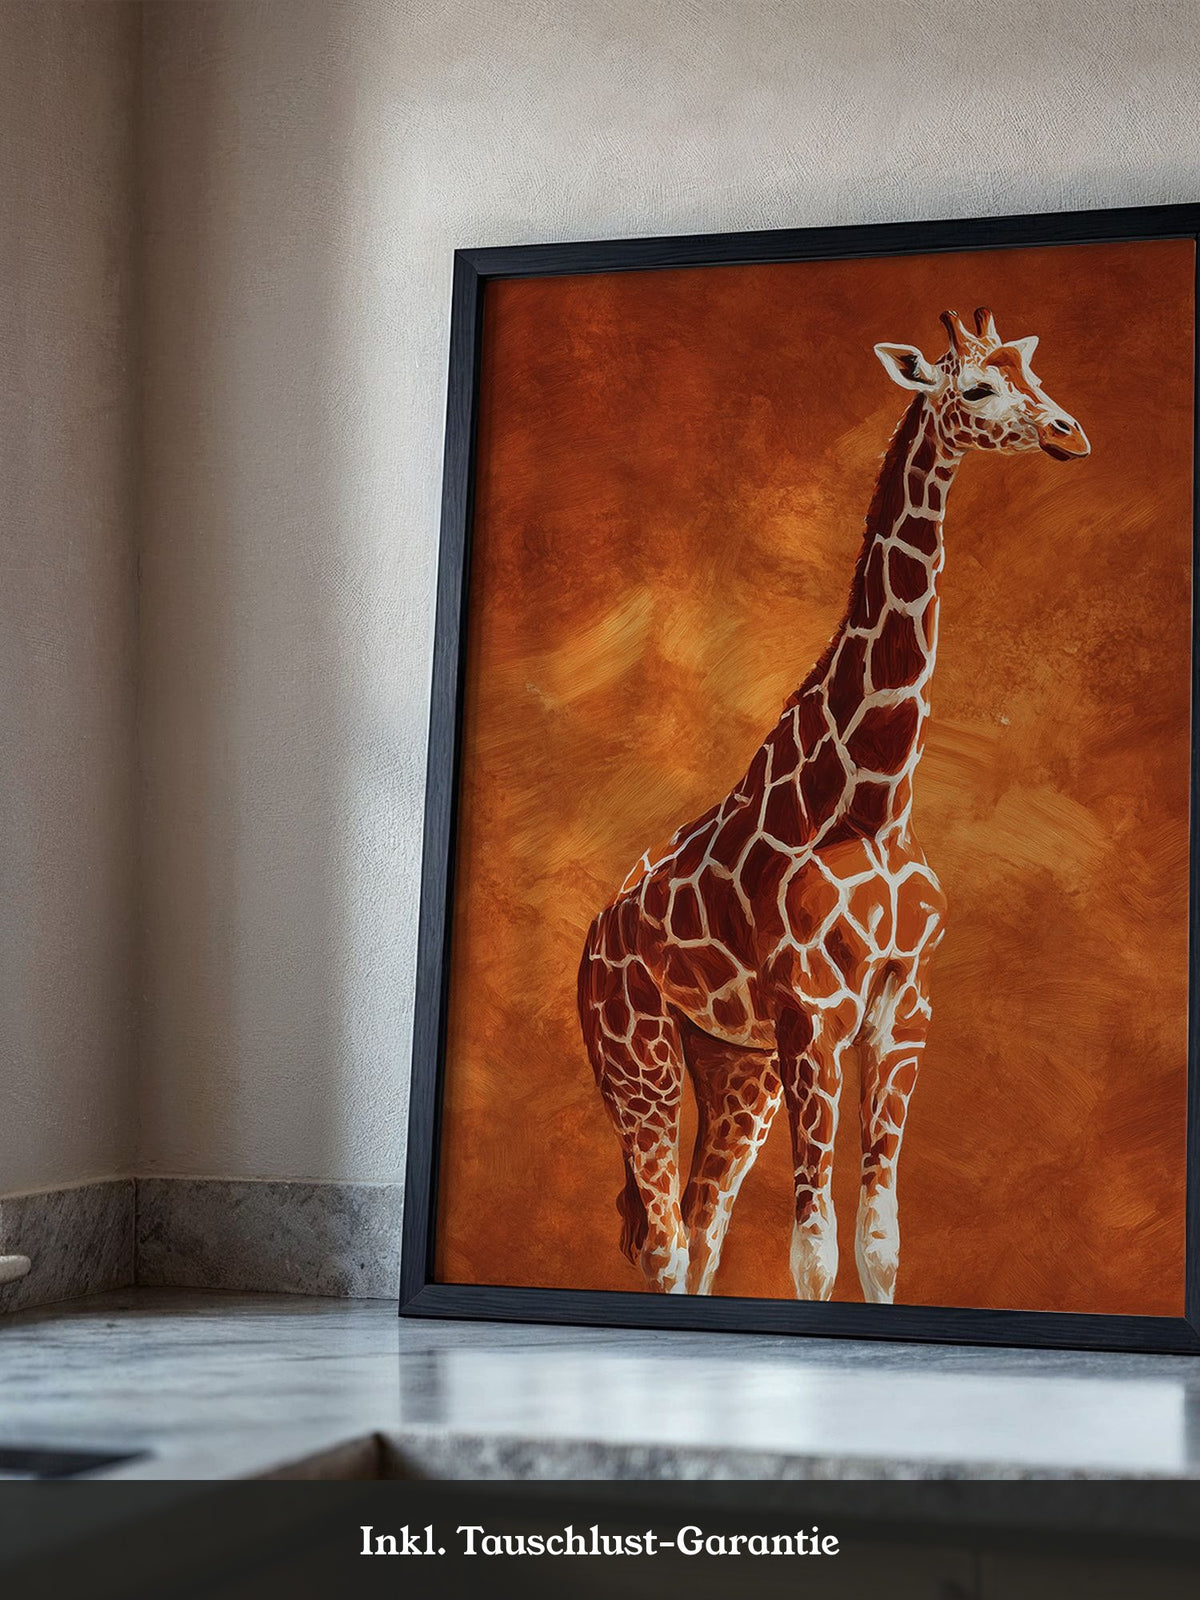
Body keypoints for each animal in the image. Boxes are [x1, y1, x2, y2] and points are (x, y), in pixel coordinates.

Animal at [577, 307, 1089, 1302]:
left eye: (1037, 378)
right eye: (978, 387)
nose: (1068, 433)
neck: (875, 801)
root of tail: (594, 931)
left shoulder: (901, 1013)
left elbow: (878, 1238)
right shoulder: (813, 1014)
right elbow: (811, 1249)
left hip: (735, 1068)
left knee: (703, 1223)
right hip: (637, 1058)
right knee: (664, 1237)